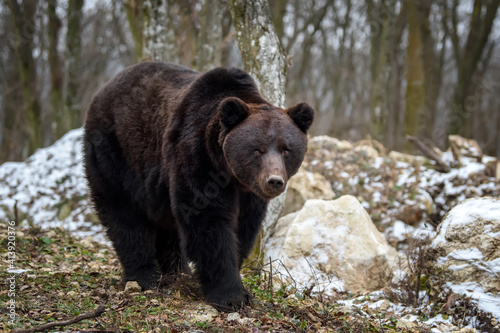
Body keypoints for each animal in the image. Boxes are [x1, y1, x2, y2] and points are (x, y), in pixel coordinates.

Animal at [84, 61, 314, 308]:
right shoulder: (197, 156)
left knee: (167, 226)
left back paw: (176, 273)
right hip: (116, 153)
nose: (274, 181)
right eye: (257, 149)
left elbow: (243, 228)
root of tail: (104, 89)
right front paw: (230, 295)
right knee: (124, 215)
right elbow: (209, 223)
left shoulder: (249, 192)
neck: (229, 173)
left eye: (286, 149)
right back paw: (145, 278)